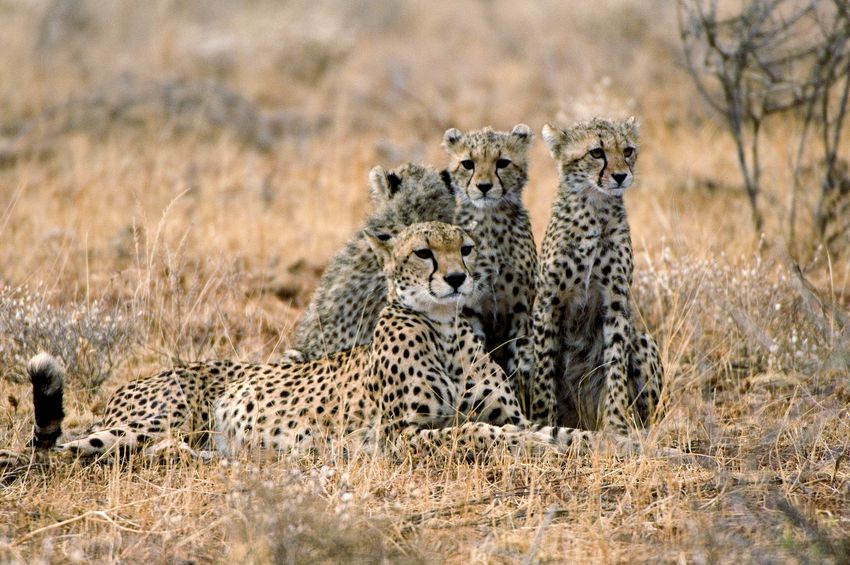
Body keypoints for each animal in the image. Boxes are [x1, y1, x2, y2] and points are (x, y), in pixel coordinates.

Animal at [25, 222, 597, 459]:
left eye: (467, 247)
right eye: (424, 252)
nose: (457, 278)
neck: (446, 329)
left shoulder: (510, 413)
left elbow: (540, 429)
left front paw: (593, 441)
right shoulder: (401, 437)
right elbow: (478, 432)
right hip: (153, 421)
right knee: (62, 451)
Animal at [442, 124, 547, 424]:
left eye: (502, 163)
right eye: (468, 163)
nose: (484, 186)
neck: (490, 221)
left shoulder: (520, 313)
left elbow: (523, 368)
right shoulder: (470, 312)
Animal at [532, 116, 663, 435]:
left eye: (627, 150)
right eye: (596, 152)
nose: (620, 176)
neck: (594, 207)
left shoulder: (615, 302)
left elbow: (615, 364)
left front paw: (616, 423)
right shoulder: (548, 302)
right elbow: (543, 372)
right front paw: (543, 422)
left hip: (643, 340)